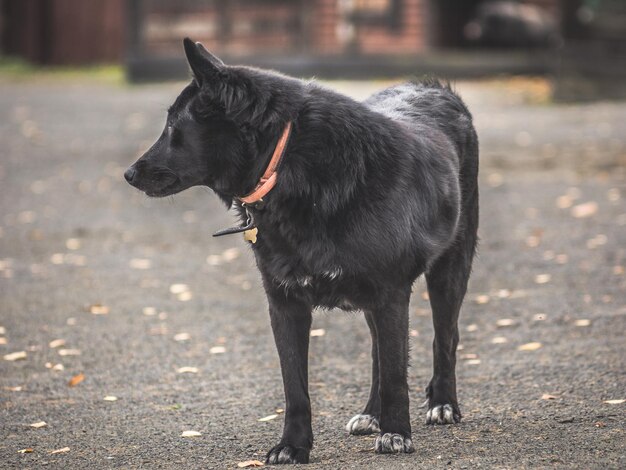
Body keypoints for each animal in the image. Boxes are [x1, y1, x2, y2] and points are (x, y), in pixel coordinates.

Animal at [125, 38, 478, 464]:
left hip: (449, 271)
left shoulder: (391, 294)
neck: (289, 162)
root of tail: (432, 87)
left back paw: (442, 403)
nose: (128, 174)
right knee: (378, 352)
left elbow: (397, 373)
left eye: (174, 128)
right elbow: (296, 388)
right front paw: (293, 445)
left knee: (444, 338)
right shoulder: (286, 304)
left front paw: (397, 433)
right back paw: (371, 413)